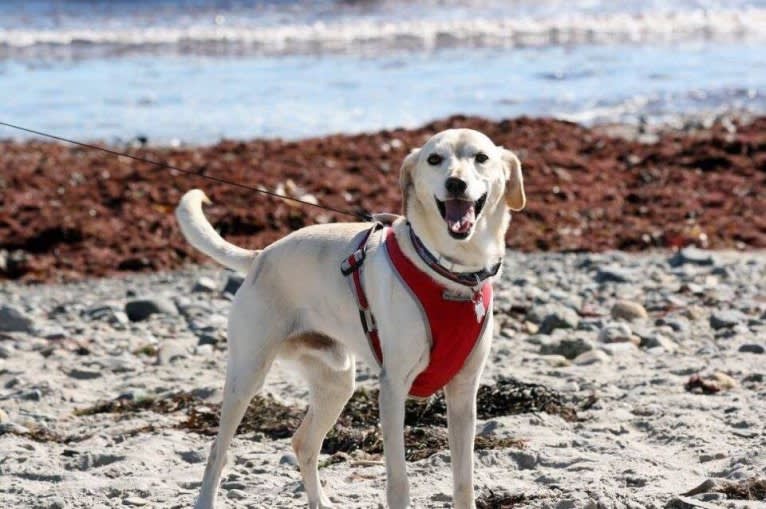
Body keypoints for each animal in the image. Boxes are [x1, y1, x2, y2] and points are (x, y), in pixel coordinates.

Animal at [178, 128, 528, 508]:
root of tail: (261, 255)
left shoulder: (464, 393)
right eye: (435, 159)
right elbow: (399, 481)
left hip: (337, 381)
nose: (455, 183)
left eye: (481, 158)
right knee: (218, 450)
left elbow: (464, 482)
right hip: (247, 376)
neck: (450, 272)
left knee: (303, 443)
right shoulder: (393, 389)